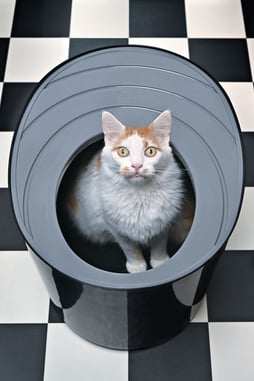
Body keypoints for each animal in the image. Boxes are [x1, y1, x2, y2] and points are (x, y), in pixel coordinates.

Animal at [65, 110, 192, 274]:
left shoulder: (163, 223)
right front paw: (137, 268)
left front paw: (160, 263)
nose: (136, 165)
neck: (139, 195)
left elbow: (159, 245)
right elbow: (131, 250)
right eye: (123, 152)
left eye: (150, 151)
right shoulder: (115, 227)